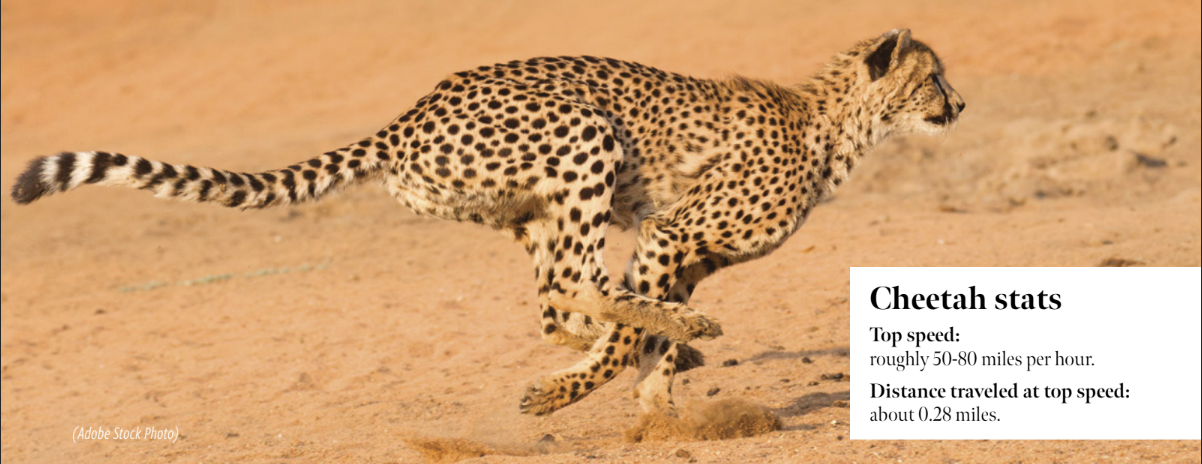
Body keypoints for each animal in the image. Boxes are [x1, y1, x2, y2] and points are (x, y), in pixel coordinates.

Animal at [11, 30, 966, 418]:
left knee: (552, 301)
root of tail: (409, 113)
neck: (835, 126)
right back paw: (647, 345)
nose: (959, 104)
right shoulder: (670, 236)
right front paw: (591, 392)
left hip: (530, 206)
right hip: (585, 141)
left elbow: (638, 335)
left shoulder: (684, 252)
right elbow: (635, 328)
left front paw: (658, 401)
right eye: (933, 77)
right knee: (573, 287)